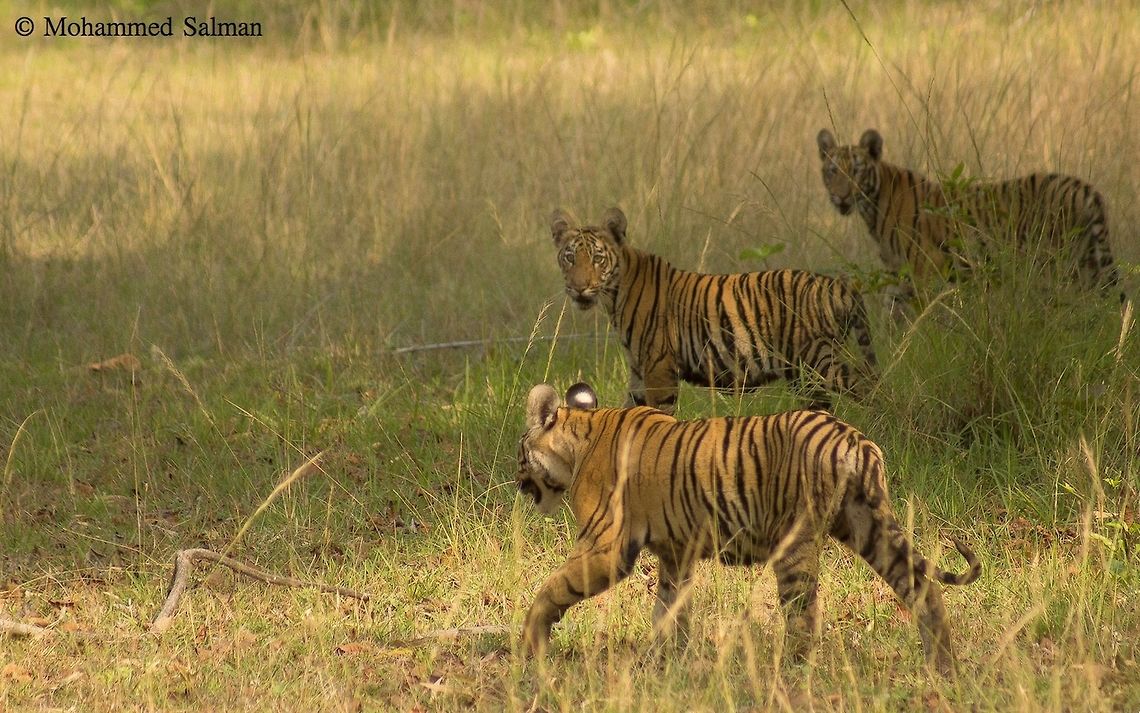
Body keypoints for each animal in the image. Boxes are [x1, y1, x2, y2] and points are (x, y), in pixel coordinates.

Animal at [516, 382, 981, 676]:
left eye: (521, 452)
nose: (518, 479)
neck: (580, 437)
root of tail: (854, 440)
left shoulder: (606, 545)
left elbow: (552, 588)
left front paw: (530, 644)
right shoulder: (676, 554)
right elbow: (669, 610)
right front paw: (666, 663)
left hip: (797, 543)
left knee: (804, 615)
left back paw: (789, 672)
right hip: (869, 526)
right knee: (923, 588)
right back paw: (943, 667)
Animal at [550, 207, 877, 414]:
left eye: (597, 259)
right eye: (569, 258)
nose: (579, 288)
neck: (614, 295)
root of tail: (837, 284)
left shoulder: (659, 369)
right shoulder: (638, 373)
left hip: (817, 359)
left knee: (868, 387)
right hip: (802, 375)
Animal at [816, 127, 1122, 313]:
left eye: (856, 171)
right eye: (832, 171)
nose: (841, 197)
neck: (872, 206)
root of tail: (1085, 188)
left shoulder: (925, 270)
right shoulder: (897, 275)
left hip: (1060, 266)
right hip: (1088, 263)